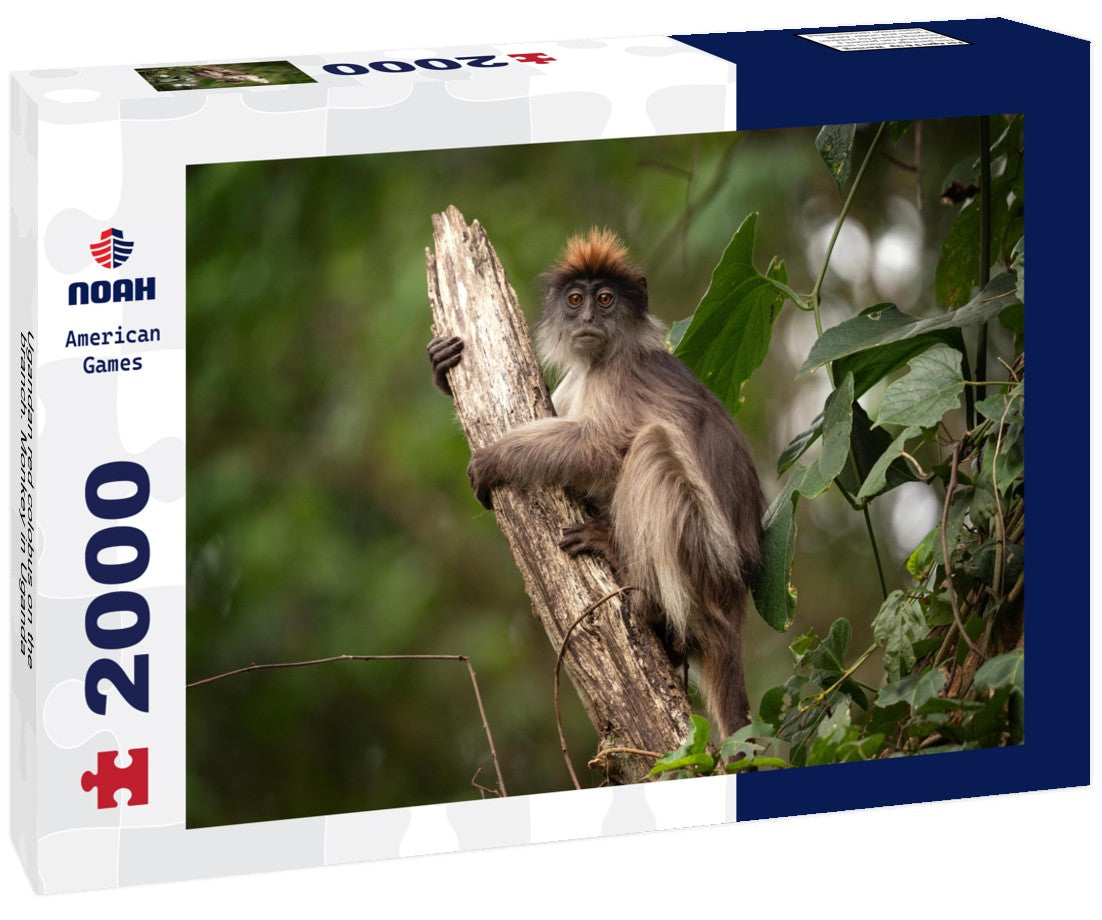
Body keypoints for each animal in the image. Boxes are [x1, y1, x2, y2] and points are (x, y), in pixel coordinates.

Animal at [428, 229, 763, 739]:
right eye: (575, 300)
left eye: (605, 299)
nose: (587, 318)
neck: (601, 359)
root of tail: (733, 606)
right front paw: (441, 370)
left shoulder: (619, 376)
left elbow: (602, 449)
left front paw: (497, 456)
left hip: (705, 560)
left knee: (652, 445)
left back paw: (639, 586)